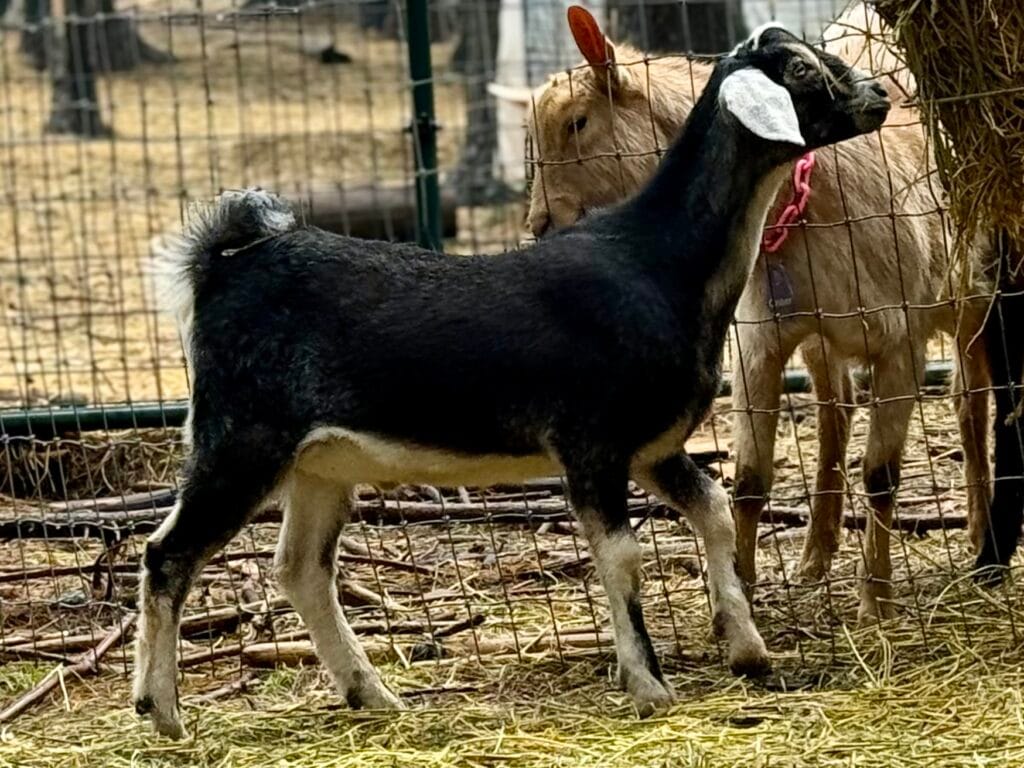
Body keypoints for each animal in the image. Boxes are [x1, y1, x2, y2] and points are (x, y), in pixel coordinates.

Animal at [134, 25, 889, 738]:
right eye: (800, 70)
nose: (879, 96)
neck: (657, 263)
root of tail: (220, 268)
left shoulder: (651, 446)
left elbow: (712, 508)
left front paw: (748, 649)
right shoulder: (590, 442)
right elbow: (622, 557)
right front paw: (649, 685)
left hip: (319, 463)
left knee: (300, 569)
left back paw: (372, 695)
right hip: (241, 438)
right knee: (168, 554)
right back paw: (162, 710)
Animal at [525, 3, 993, 623]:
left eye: (578, 122)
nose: (538, 223)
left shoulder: (901, 340)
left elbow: (882, 476)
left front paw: (876, 599)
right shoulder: (761, 341)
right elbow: (748, 477)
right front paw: (742, 587)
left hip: (972, 302)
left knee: (970, 405)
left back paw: (983, 541)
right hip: (822, 335)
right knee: (835, 410)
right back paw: (816, 554)